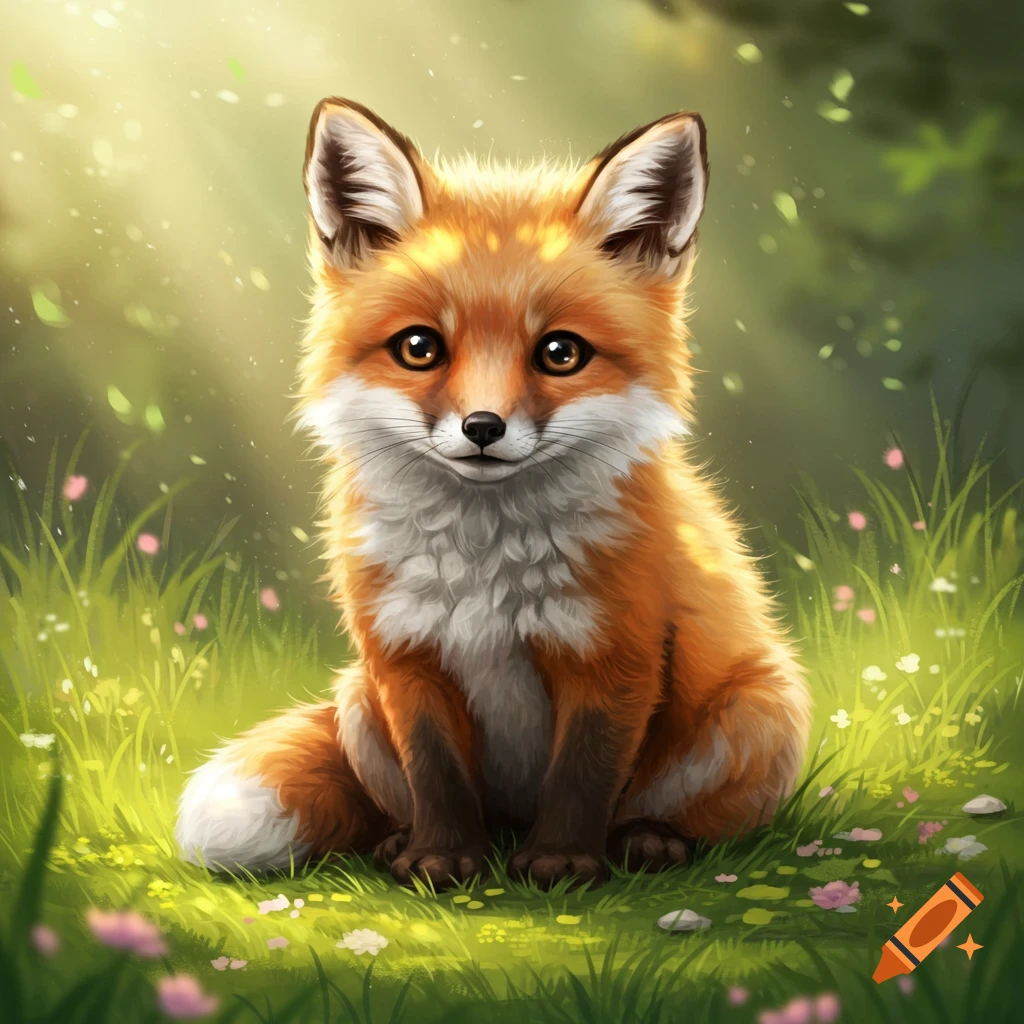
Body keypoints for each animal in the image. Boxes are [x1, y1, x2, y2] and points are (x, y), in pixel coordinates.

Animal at [174, 97, 812, 890]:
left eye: (560, 353)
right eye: (419, 348)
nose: (483, 427)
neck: (485, 570)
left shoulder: (615, 656)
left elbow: (583, 775)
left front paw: (563, 862)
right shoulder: (405, 657)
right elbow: (436, 773)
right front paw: (440, 858)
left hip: (758, 711)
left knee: (674, 815)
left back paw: (646, 842)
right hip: (356, 699)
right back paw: (403, 842)